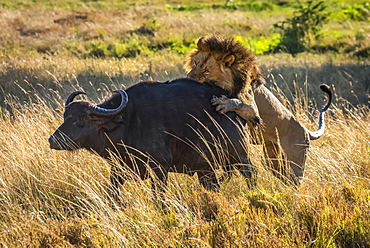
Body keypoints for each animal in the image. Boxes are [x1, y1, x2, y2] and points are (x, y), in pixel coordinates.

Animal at [48, 78, 254, 197]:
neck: (126, 123)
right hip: (206, 169)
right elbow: (112, 194)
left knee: (251, 174)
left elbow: (159, 198)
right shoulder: (118, 170)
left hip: (240, 156)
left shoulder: (160, 168)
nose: (53, 140)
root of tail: (235, 109)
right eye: (66, 116)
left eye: (81, 119)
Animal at [185, 34, 332, 185]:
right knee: (284, 176)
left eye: (206, 71)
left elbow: (239, 102)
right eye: (195, 63)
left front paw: (223, 103)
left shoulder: (254, 110)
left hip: (296, 161)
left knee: (295, 180)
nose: (188, 79)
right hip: (271, 160)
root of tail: (305, 130)